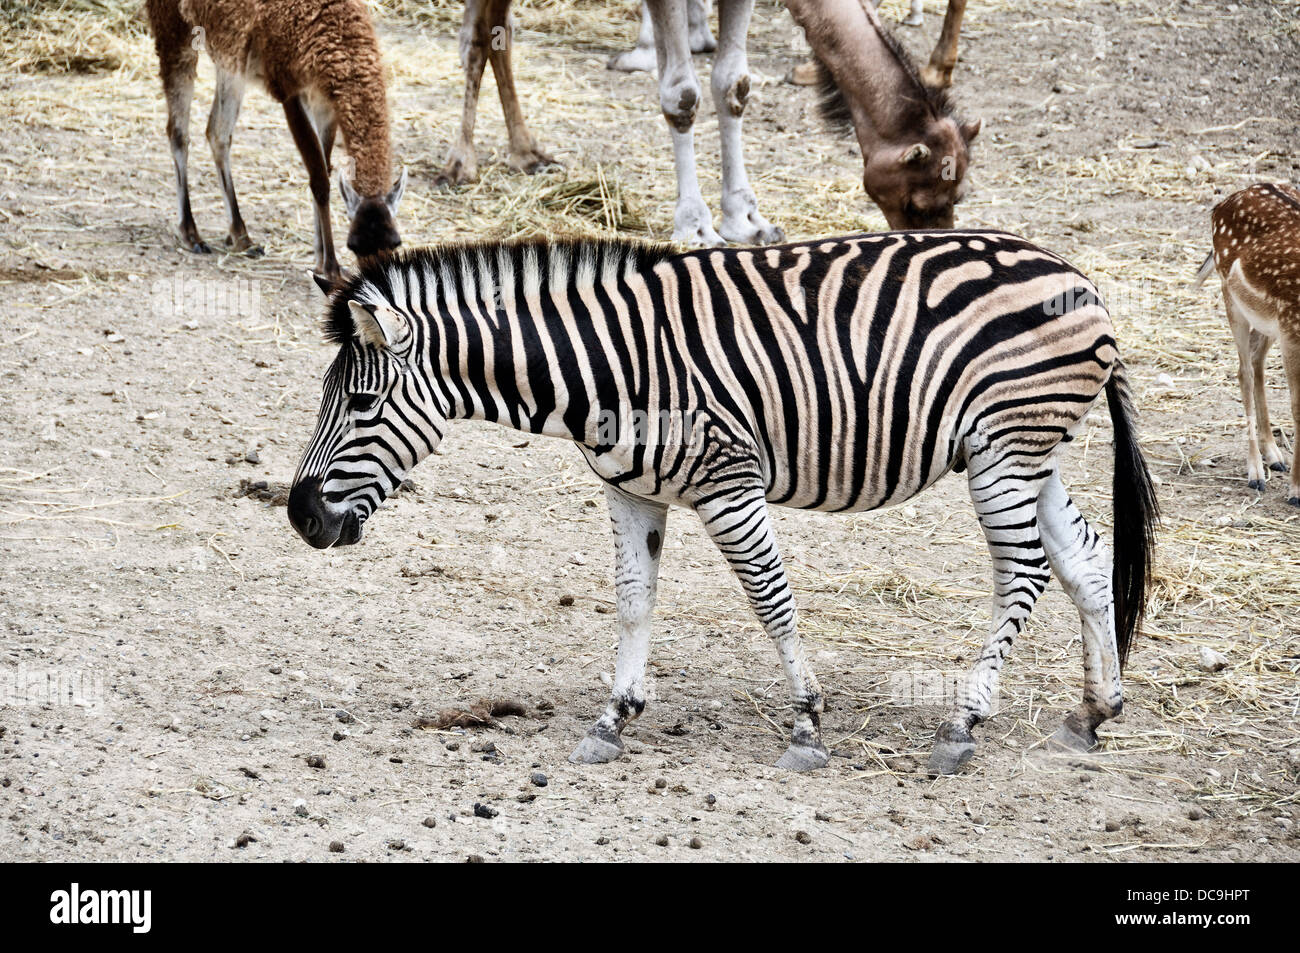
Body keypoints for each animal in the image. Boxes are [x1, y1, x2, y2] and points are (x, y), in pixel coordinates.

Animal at [284, 230, 1159, 774]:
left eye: (359, 404)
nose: (300, 516)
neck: (603, 368)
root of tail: (1081, 282)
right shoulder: (629, 490)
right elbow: (633, 600)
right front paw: (613, 718)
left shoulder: (728, 481)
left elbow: (772, 599)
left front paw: (806, 723)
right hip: (1026, 452)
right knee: (1082, 558)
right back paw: (1095, 710)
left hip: (1005, 447)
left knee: (1023, 572)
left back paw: (963, 723)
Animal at [1196, 180, 1300, 504]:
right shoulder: (1292, 331)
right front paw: (1296, 492)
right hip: (1230, 296)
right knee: (1244, 371)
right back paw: (1256, 472)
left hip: (1267, 320)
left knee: (1256, 362)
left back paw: (1274, 456)